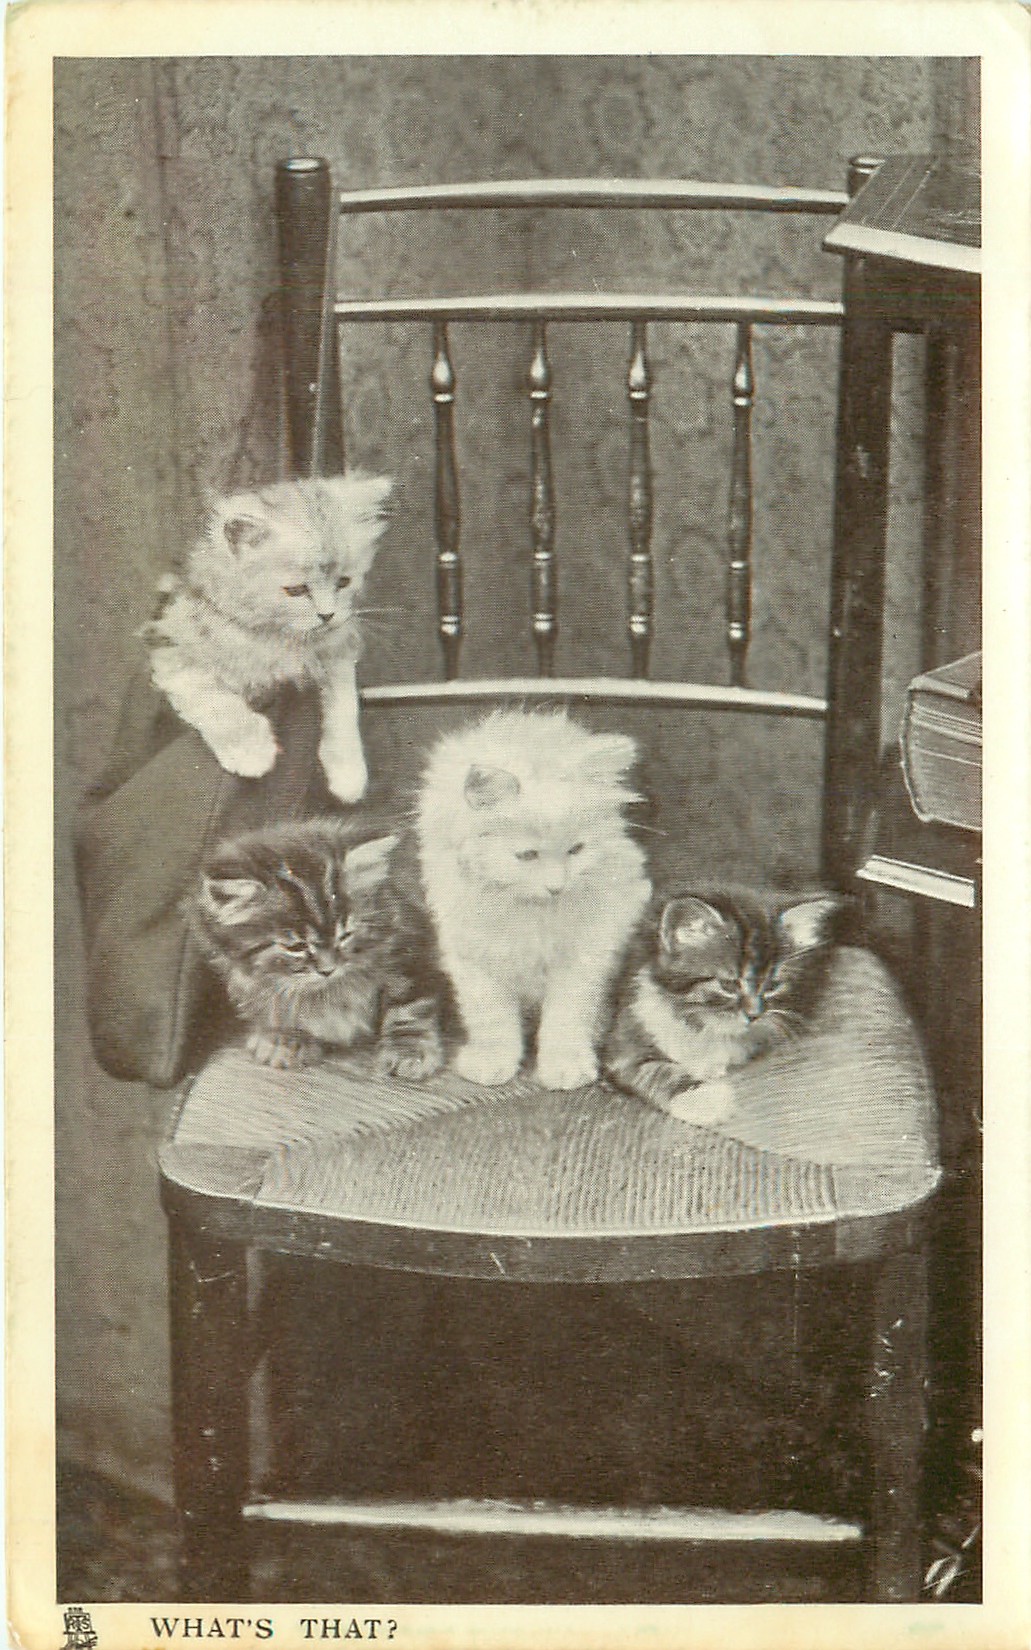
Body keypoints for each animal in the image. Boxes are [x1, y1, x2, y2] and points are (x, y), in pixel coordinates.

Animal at [144, 473, 392, 803]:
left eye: (343, 582)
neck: (276, 637)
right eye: (296, 590)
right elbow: (215, 700)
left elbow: (343, 705)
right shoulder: (170, 649)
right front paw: (250, 750)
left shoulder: (336, 652)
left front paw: (348, 771)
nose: (327, 615)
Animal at [189, 816, 446, 1076]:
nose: (328, 970)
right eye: (296, 947)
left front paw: (409, 1048)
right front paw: (285, 1038)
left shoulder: (409, 945)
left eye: (345, 935)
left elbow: (410, 1005)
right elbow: (277, 1005)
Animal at [416, 707, 651, 1090]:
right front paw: (493, 1062)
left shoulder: (585, 954)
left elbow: (567, 1015)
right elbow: (491, 1018)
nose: (557, 886)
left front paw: (565, 1066)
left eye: (576, 850)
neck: (529, 914)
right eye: (527, 856)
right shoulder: (474, 957)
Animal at [604, 888, 843, 1125]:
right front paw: (703, 1098)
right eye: (728, 985)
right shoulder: (625, 1039)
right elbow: (654, 1069)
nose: (754, 1014)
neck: (699, 1023)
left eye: (772, 986)